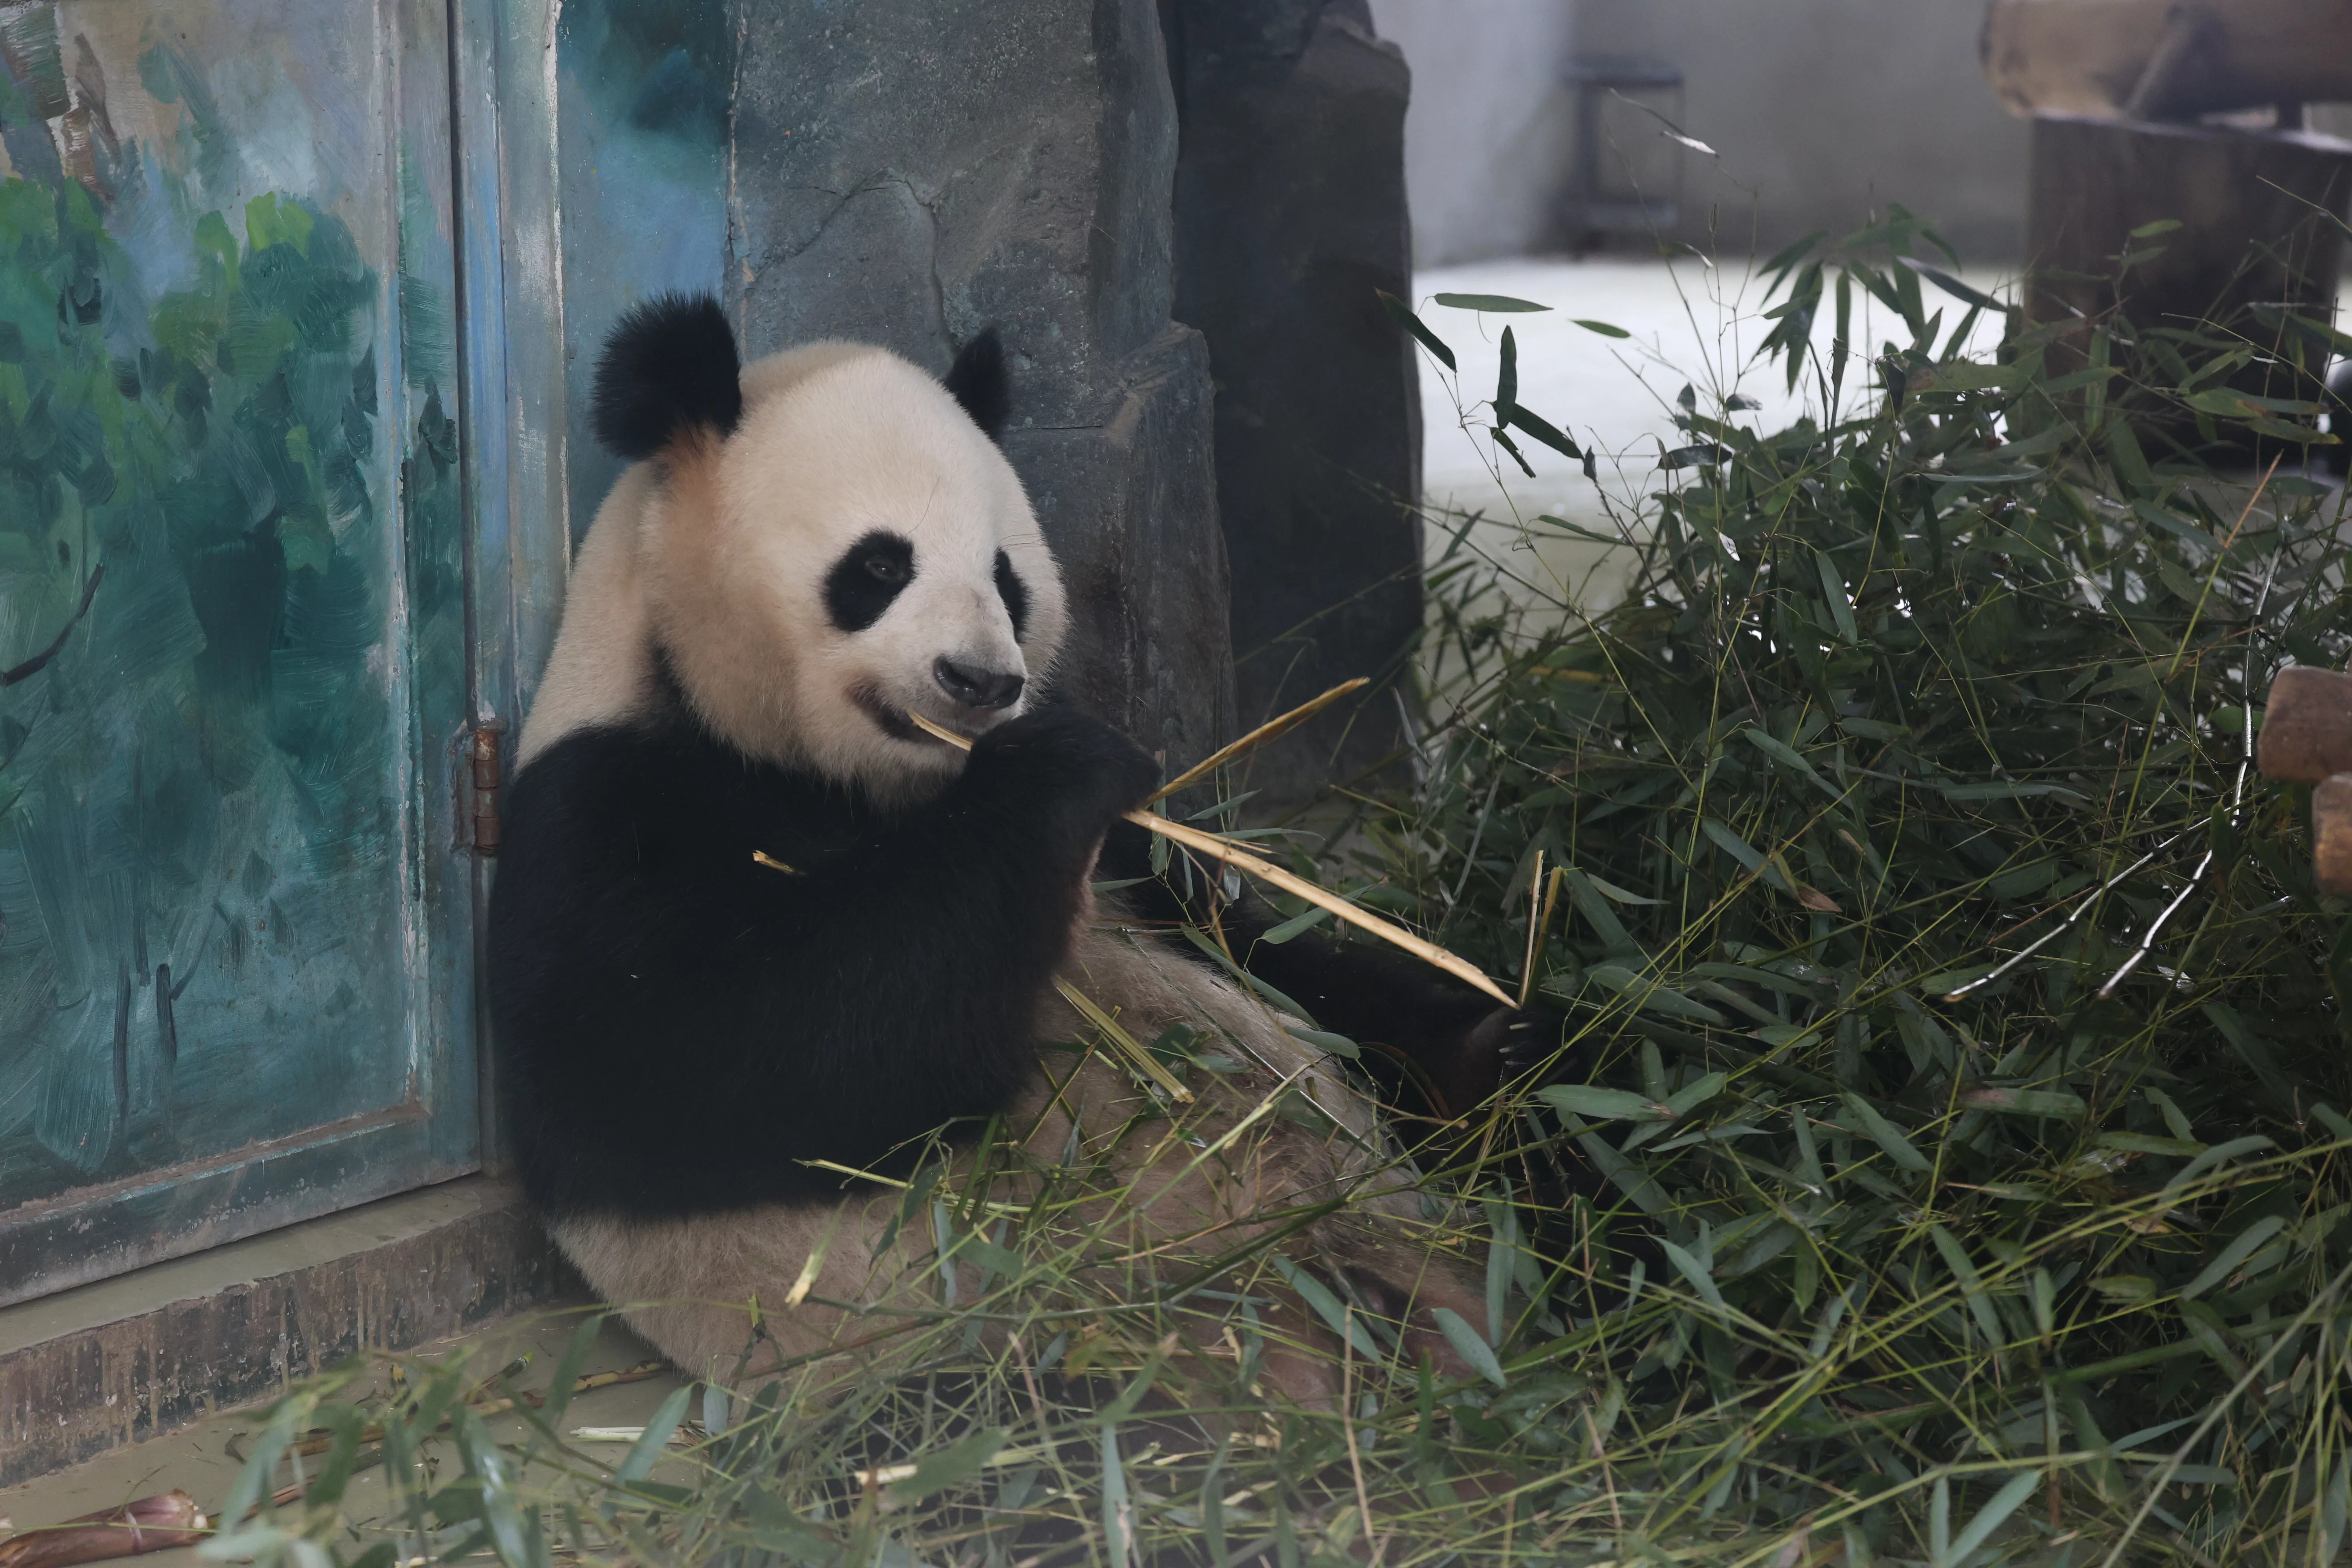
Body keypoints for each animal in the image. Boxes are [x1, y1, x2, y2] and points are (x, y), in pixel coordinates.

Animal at [486, 294, 1559, 1406]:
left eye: (1006, 578)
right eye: (880, 565)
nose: (981, 682)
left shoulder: (1132, 864)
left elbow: (1261, 952)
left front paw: (1493, 1039)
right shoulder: (607, 809)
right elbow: (741, 1059)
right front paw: (1058, 766)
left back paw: (1522, 1076)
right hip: (1024, 1357)